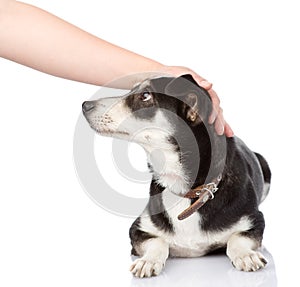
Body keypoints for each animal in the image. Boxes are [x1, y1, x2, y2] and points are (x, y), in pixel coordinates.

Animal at [82, 75, 272, 280]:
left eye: (145, 95)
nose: (85, 105)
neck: (186, 191)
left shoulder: (255, 220)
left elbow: (237, 238)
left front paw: (246, 255)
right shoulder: (138, 229)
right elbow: (159, 242)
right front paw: (148, 261)